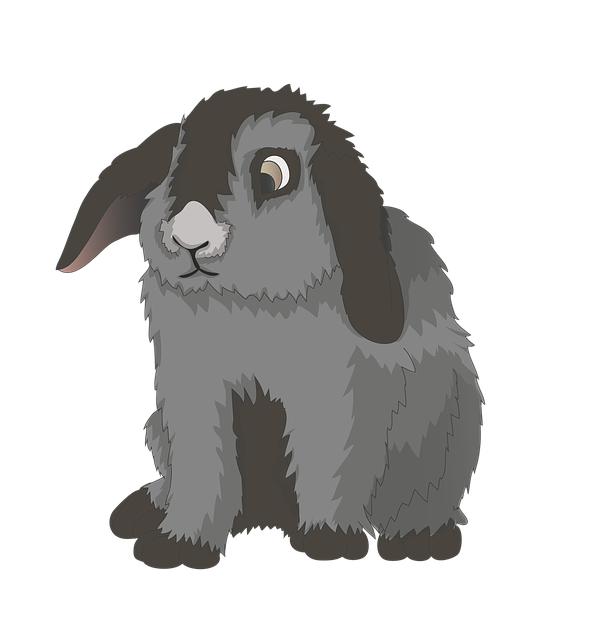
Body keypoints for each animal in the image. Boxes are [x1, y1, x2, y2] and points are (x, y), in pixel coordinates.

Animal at [56, 85, 483, 568]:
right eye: (171, 170)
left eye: (274, 174)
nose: (189, 239)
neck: (249, 303)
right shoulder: (192, 394)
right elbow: (203, 466)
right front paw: (179, 547)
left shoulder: (334, 397)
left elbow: (328, 463)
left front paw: (329, 542)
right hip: (157, 428)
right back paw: (143, 509)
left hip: (449, 428)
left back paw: (421, 542)